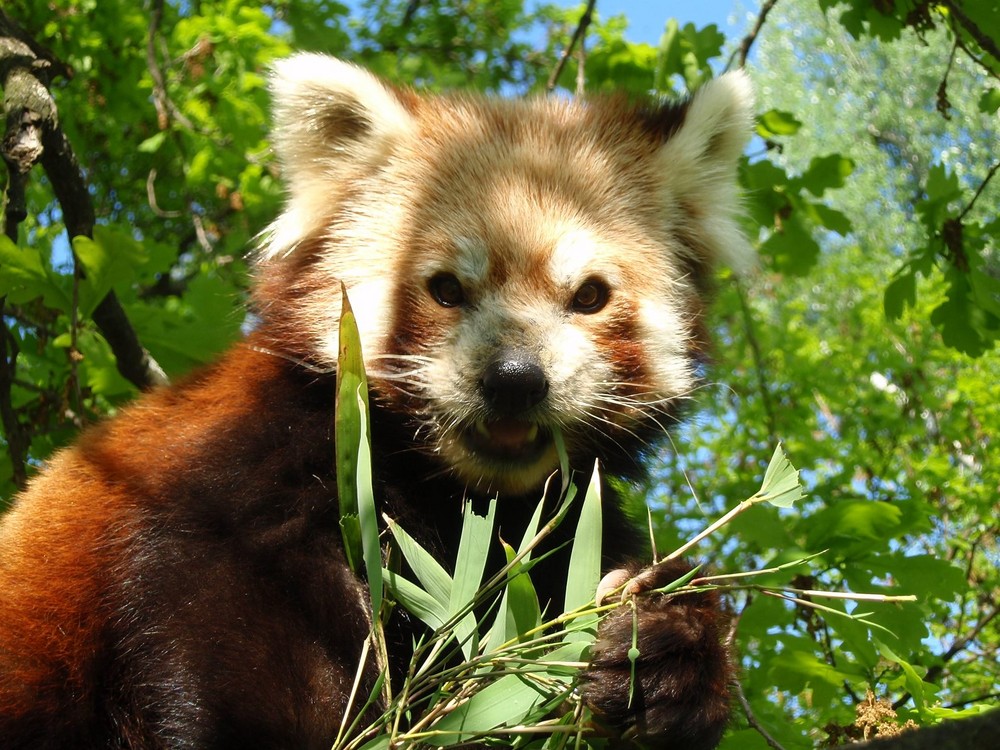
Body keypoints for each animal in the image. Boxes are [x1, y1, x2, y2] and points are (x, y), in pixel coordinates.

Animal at [0, 54, 752, 750]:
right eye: (446, 289)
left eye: (590, 296)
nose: (514, 378)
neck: (445, 488)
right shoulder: (231, 492)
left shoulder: (555, 530)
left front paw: (662, 651)